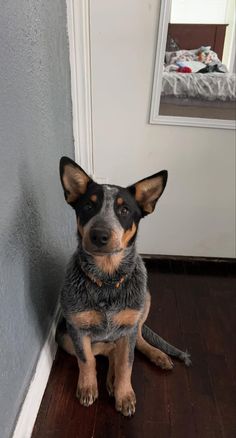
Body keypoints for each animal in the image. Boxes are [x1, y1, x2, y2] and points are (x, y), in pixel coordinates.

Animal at [56, 156, 191, 416]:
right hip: (64, 337)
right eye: (88, 207)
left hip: (145, 299)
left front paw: (124, 394)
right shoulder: (76, 330)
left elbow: (126, 364)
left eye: (124, 210)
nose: (99, 235)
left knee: (133, 341)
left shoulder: (128, 326)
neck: (107, 280)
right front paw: (88, 387)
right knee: (106, 350)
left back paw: (156, 355)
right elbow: (86, 360)